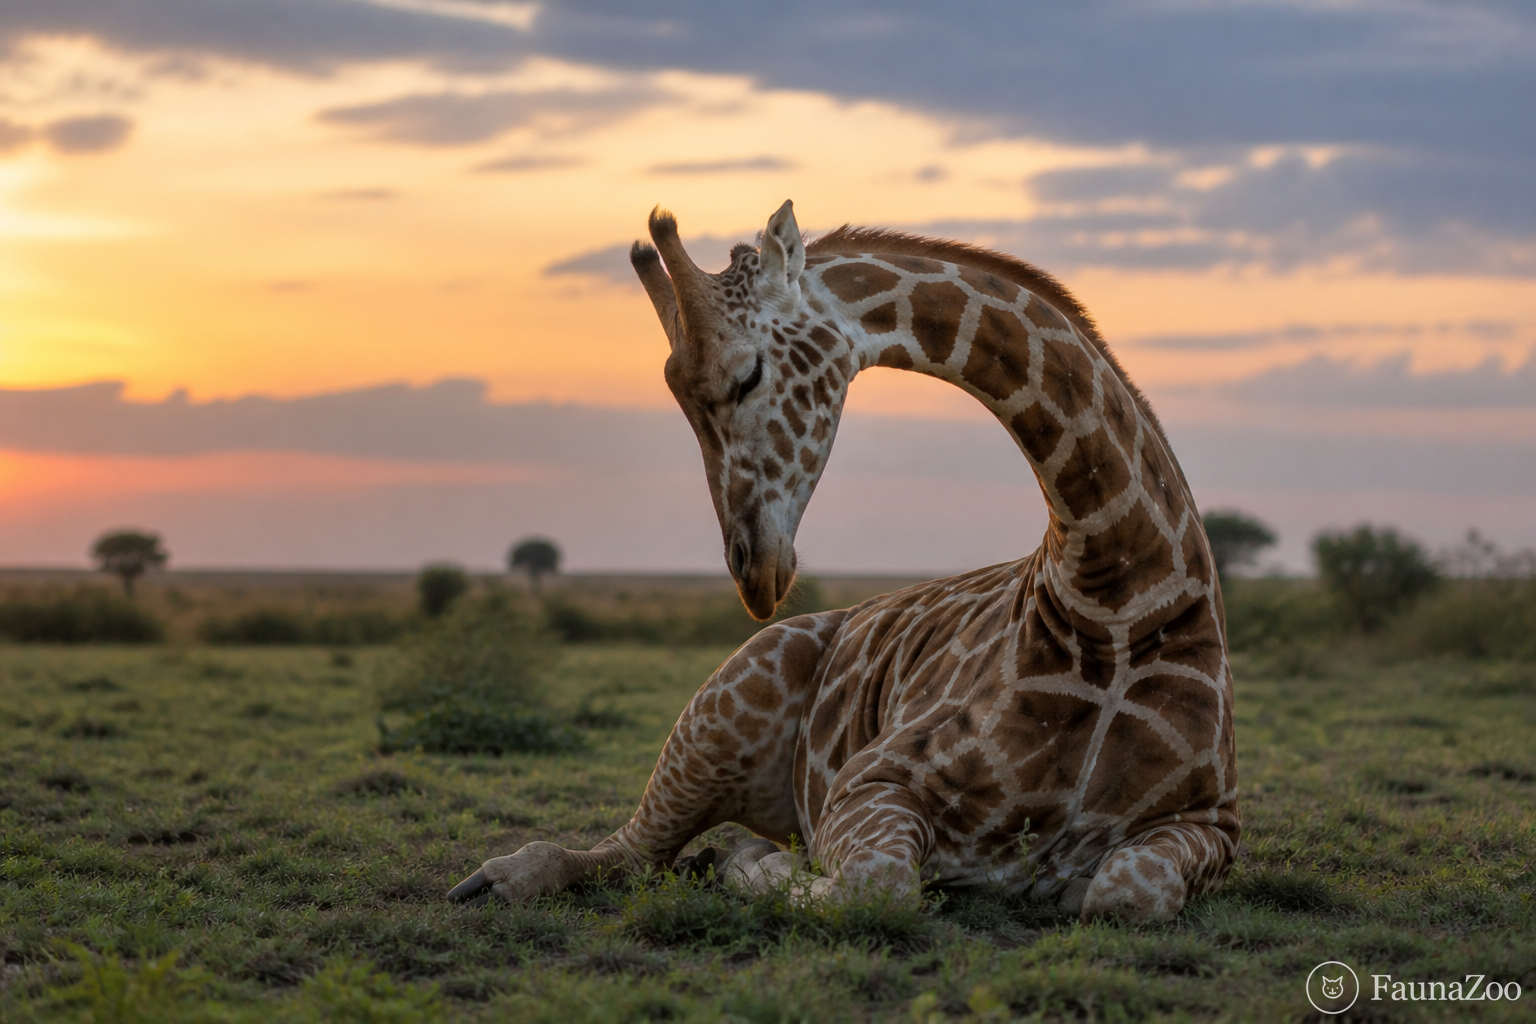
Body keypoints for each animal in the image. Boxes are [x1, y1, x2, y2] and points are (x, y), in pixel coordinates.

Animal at [448, 200, 1239, 922]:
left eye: (746, 376)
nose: (753, 571)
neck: (1113, 598)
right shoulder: (869, 782)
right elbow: (875, 885)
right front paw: (752, 867)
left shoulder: (1211, 823)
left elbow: (1129, 890)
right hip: (727, 696)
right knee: (632, 851)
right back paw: (502, 879)